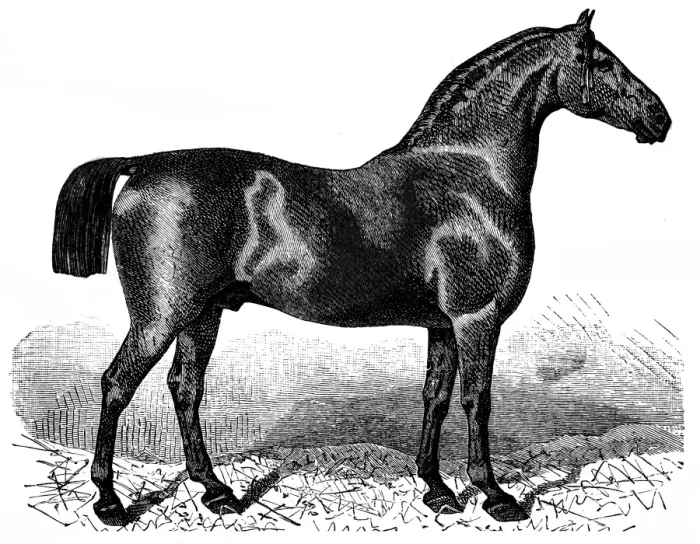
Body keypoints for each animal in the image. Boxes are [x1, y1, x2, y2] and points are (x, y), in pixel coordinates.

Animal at [52, 10, 670, 525]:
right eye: (603, 61)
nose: (660, 118)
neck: (469, 174)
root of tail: (145, 165)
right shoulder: (477, 319)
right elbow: (478, 400)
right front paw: (494, 496)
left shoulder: (443, 325)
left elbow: (436, 396)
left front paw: (436, 489)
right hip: (160, 317)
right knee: (117, 385)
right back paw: (109, 502)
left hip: (202, 315)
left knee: (185, 389)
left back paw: (217, 491)